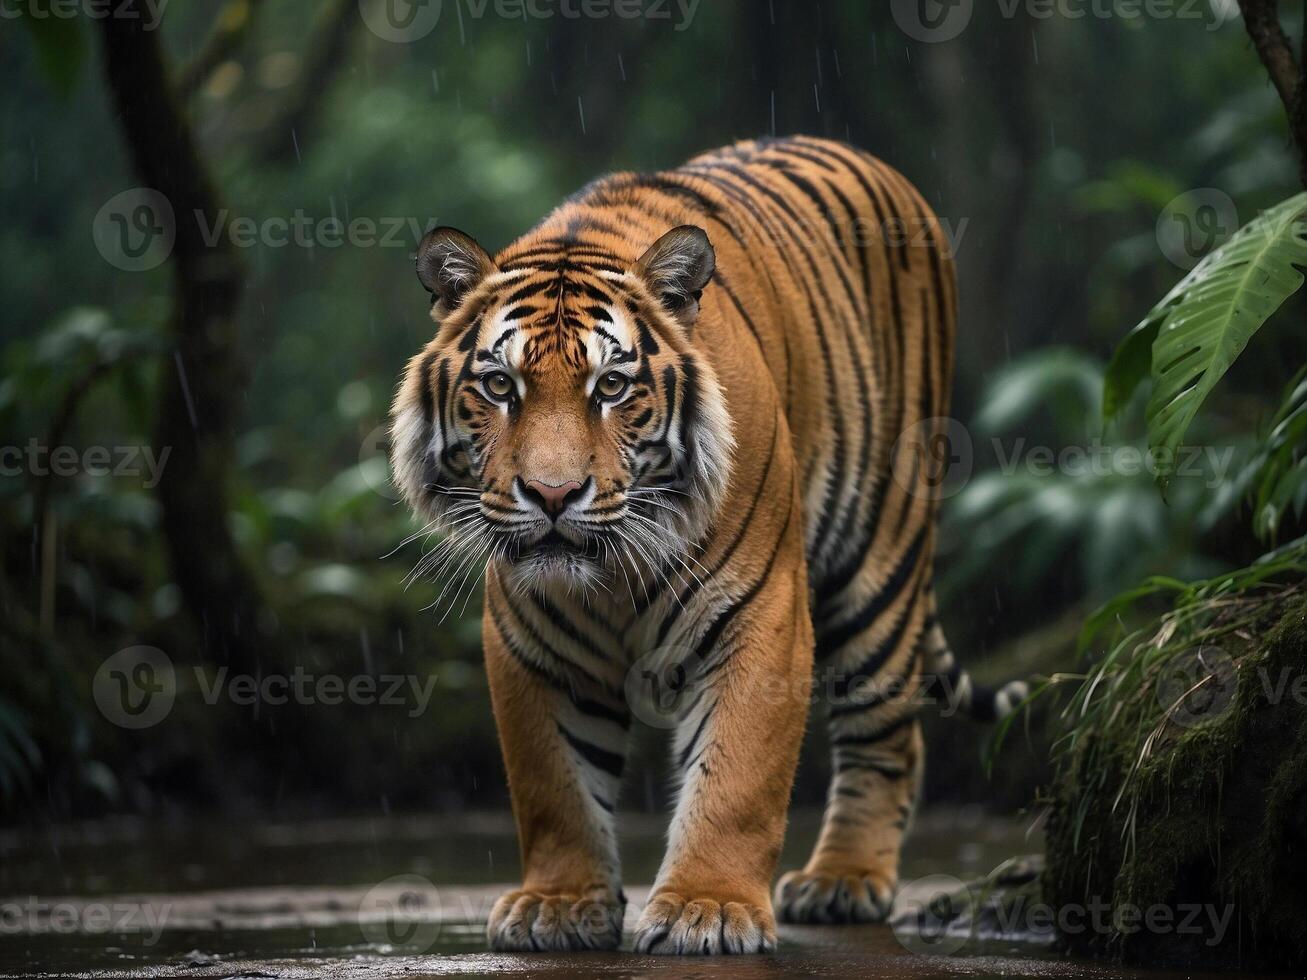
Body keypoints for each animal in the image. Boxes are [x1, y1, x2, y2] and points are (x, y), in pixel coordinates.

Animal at [386, 134, 1029, 956]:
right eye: (500, 388)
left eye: (611, 388)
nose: (554, 495)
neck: (609, 575)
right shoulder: (530, 641)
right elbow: (553, 784)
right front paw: (558, 904)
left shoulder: (763, 614)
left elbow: (736, 778)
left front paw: (708, 907)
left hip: (880, 554)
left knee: (887, 728)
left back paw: (843, 881)